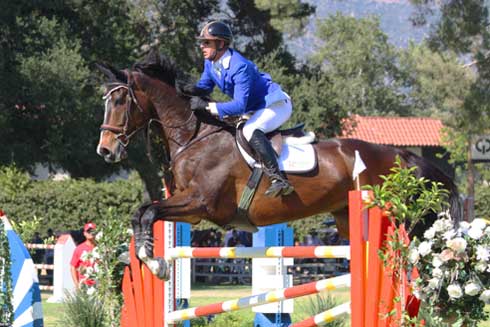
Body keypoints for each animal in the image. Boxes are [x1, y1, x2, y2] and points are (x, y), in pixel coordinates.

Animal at [94, 50, 460, 280]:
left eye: (120, 100)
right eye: (106, 100)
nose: (105, 151)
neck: (194, 136)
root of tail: (403, 156)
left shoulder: (200, 203)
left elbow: (148, 212)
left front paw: (155, 265)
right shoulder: (189, 208)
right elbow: (141, 212)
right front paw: (150, 259)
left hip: (396, 213)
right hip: (347, 218)